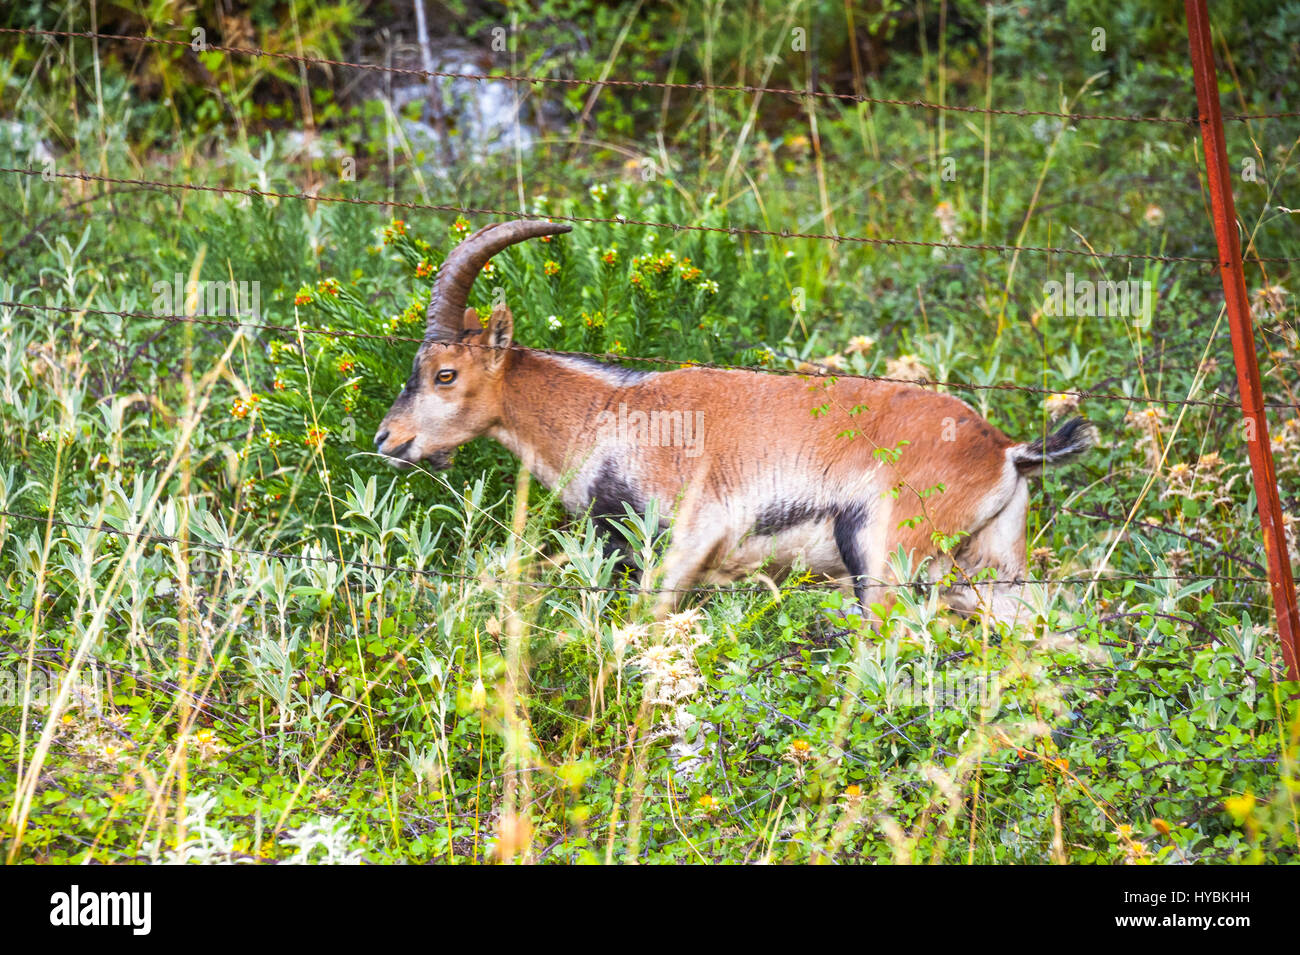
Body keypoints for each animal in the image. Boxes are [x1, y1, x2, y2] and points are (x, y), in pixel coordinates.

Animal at [375, 220, 1098, 626]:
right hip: (991, 565)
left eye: (444, 374)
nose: (388, 439)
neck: (608, 414)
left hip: (885, 557)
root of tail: (1006, 450)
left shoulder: (689, 534)